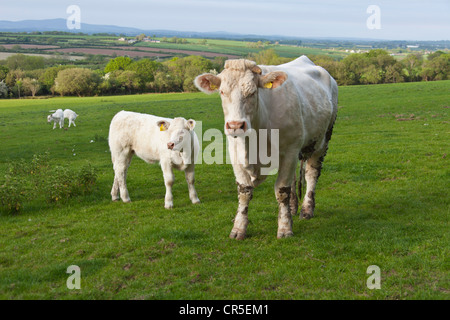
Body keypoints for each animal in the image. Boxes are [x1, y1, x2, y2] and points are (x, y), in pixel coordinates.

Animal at [194, 56, 338, 239]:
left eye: (253, 92)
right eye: (222, 92)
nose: (235, 125)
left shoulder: (290, 151)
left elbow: (282, 190)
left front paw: (284, 227)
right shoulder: (235, 153)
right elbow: (244, 191)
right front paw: (239, 228)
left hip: (322, 140)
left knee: (312, 174)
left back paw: (306, 209)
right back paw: (293, 207)